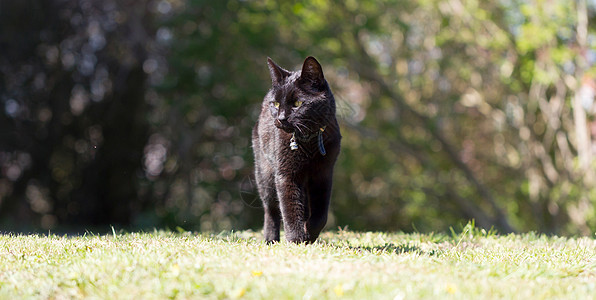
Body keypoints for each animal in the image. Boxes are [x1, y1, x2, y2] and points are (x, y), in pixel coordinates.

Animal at [250, 56, 340, 244]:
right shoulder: (286, 175)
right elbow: (290, 209)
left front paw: (309, 233)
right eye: (276, 104)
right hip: (265, 175)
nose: (281, 118)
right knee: (271, 209)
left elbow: (321, 215)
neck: (310, 142)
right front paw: (296, 240)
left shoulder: (324, 173)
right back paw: (271, 239)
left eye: (298, 103)